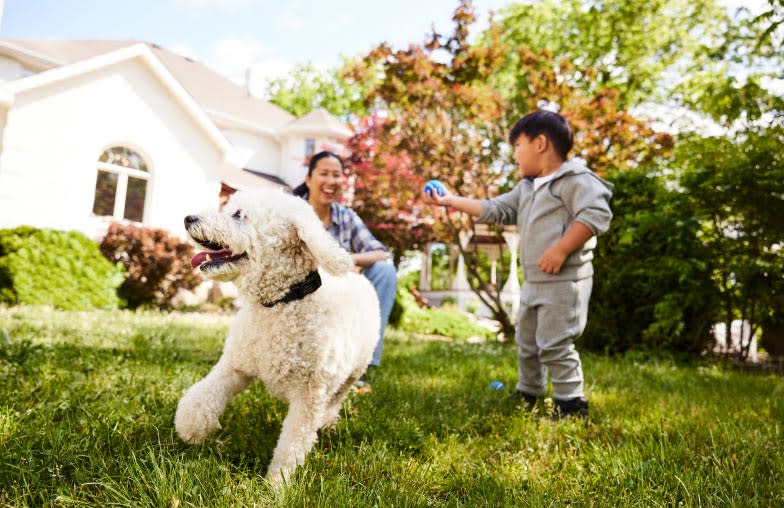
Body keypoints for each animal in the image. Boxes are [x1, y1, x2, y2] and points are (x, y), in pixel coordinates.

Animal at [174, 188, 380, 484]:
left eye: (239, 215)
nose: (189, 218)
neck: (280, 304)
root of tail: (359, 278)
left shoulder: (309, 396)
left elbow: (292, 444)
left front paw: (277, 483)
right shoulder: (236, 365)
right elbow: (204, 394)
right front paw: (190, 427)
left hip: (352, 372)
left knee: (337, 397)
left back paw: (328, 422)